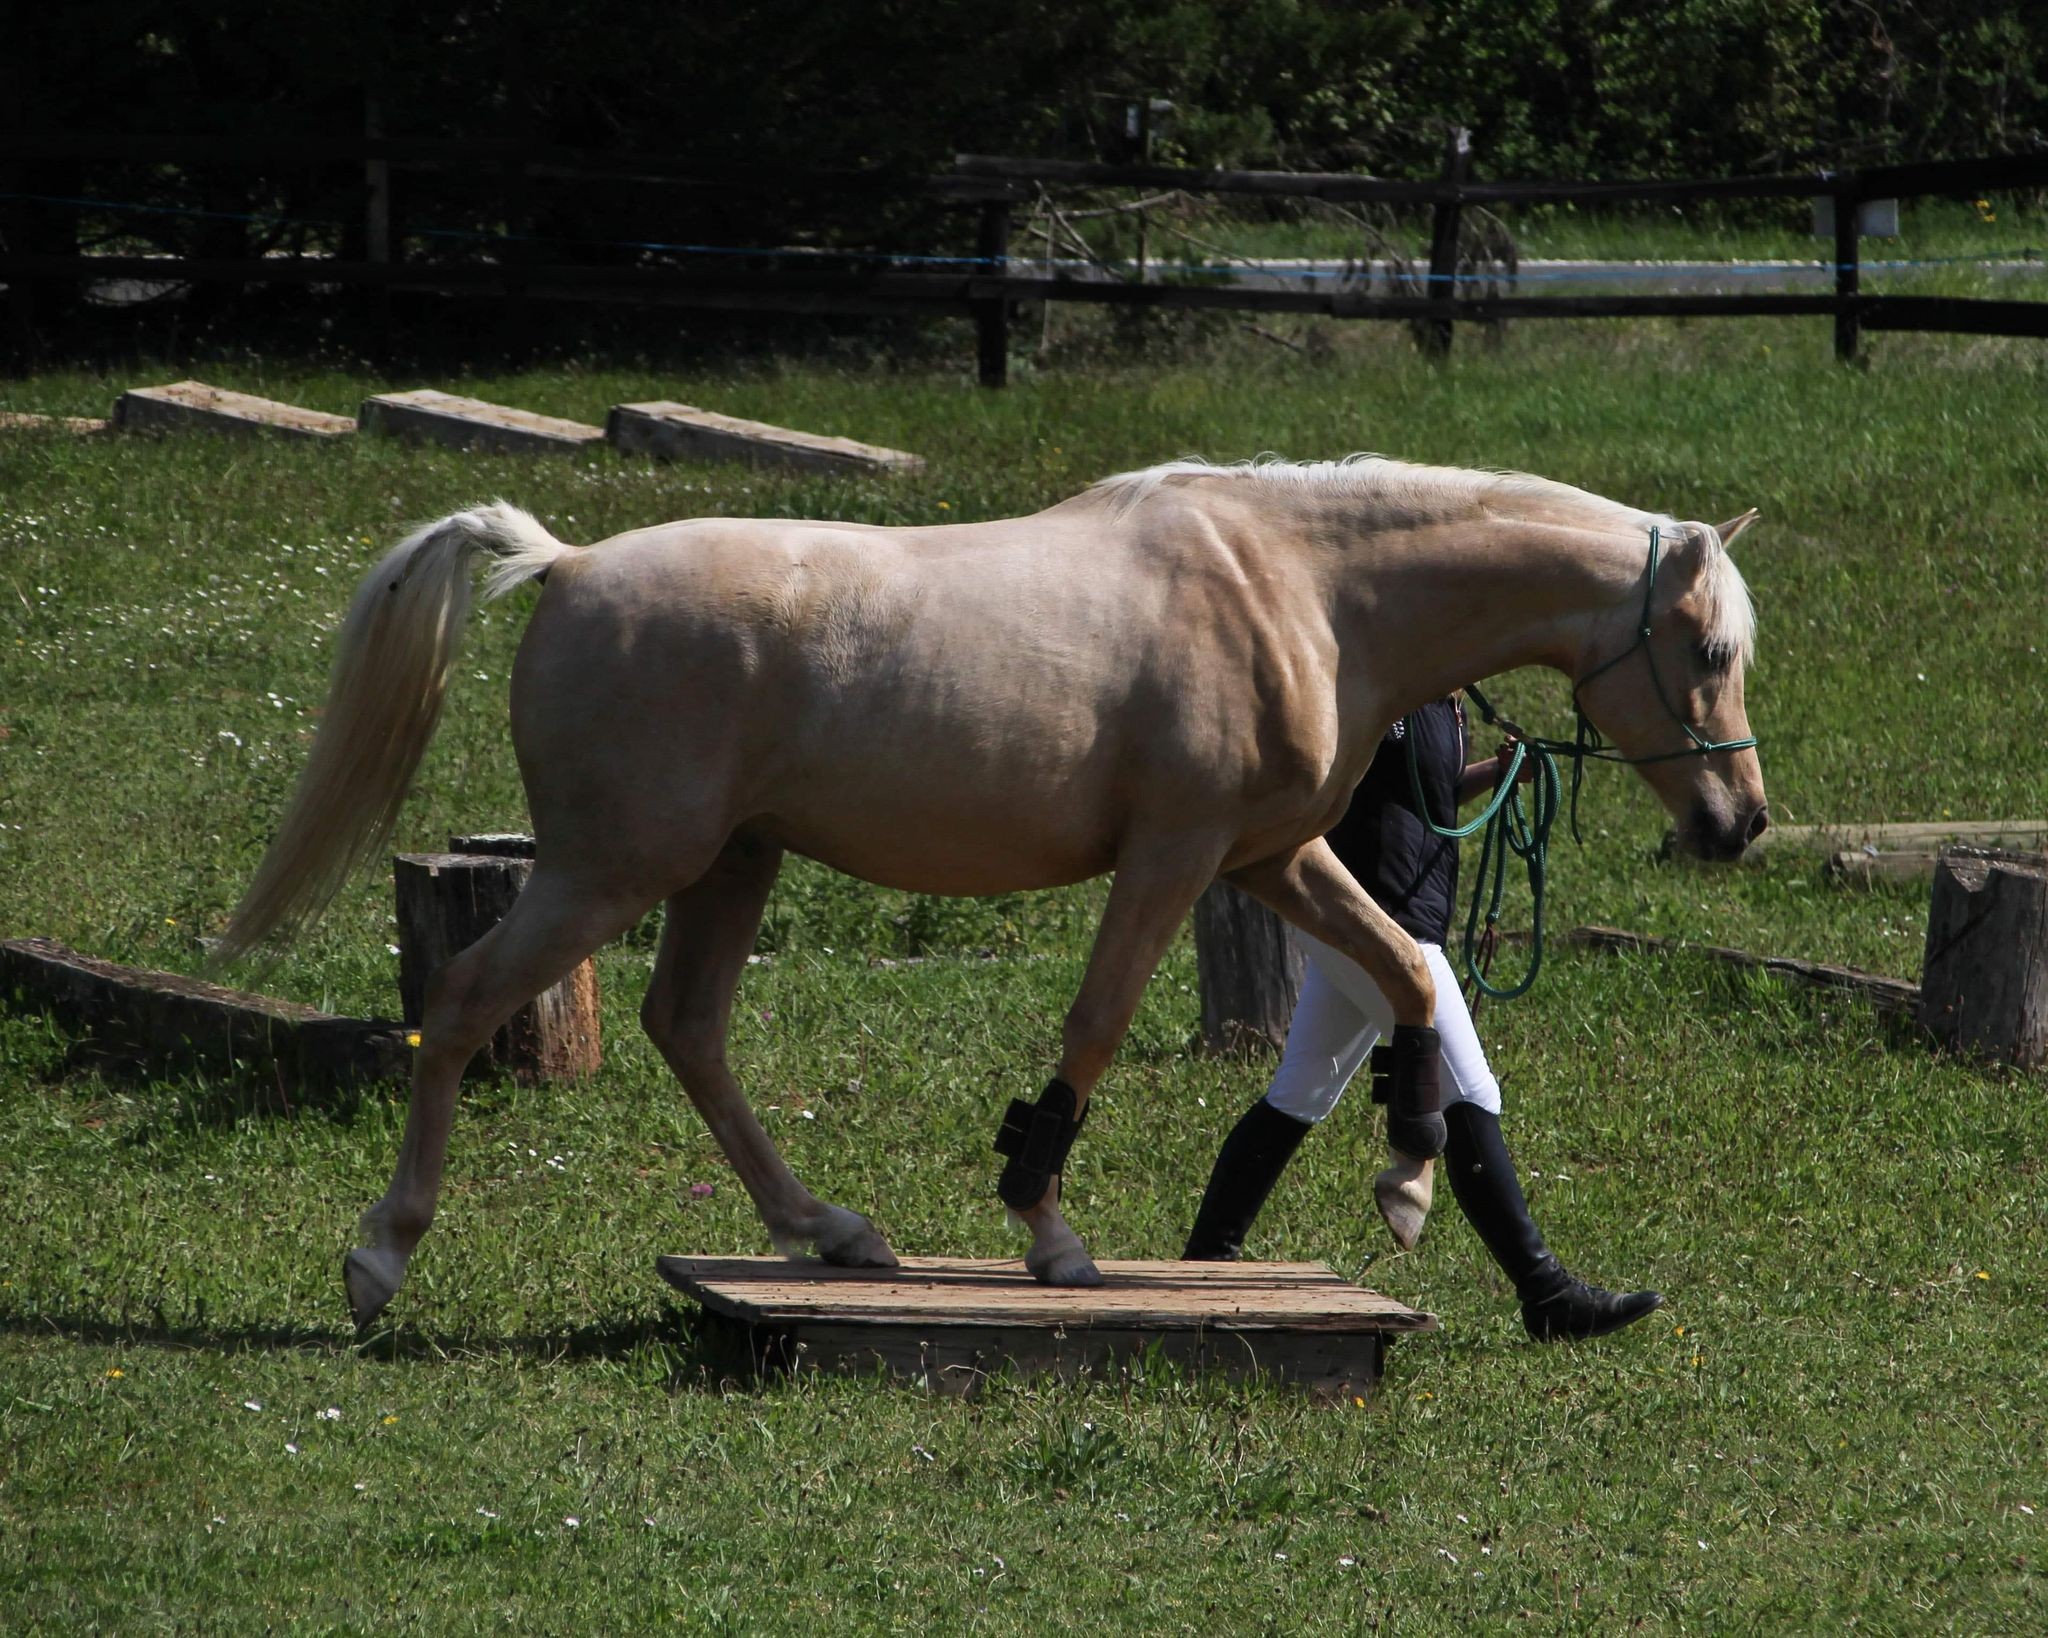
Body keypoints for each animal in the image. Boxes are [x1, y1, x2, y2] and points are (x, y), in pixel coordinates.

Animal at [220, 454, 1761, 1326]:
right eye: (1705, 648)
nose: (1737, 821)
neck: (1301, 590)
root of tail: (569, 560)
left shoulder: (1271, 856)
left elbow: (1404, 973)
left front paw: (1408, 1173)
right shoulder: (1178, 856)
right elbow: (1093, 1029)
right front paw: (1048, 1232)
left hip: (729, 863)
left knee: (688, 1028)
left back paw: (832, 1233)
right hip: (613, 870)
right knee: (470, 1003)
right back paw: (380, 1261)